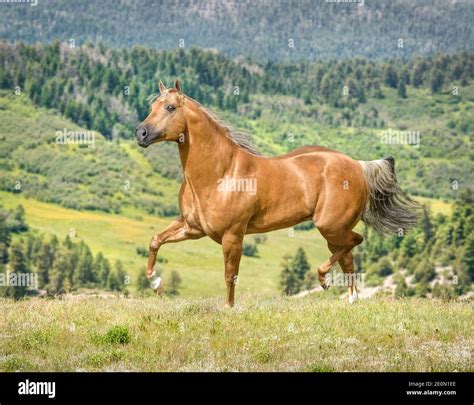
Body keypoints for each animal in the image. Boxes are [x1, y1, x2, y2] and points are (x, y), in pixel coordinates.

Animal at [135, 79, 420, 306]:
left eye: (170, 107)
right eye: (152, 107)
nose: (141, 133)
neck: (220, 173)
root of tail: (359, 166)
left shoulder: (232, 235)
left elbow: (230, 275)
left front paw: (228, 308)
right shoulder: (192, 228)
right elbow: (155, 240)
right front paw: (156, 284)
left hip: (330, 226)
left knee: (355, 241)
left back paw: (323, 279)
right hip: (335, 231)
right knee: (349, 258)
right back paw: (349, 299)